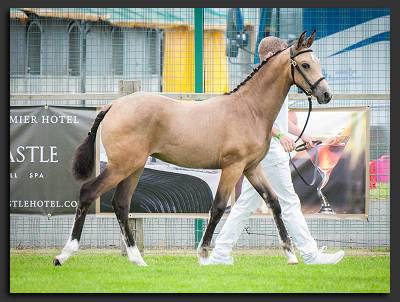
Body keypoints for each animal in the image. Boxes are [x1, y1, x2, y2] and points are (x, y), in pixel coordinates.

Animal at [54, 30, 332, 266]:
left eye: (317, 62)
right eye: (305, 64)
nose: (326, 95)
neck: (248, 109)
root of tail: (113, 106)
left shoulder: (252, 168)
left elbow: (274, 202)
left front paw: (291, 255)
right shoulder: (233, 167)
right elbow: (218, 207)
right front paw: (203, 255)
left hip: (134, 167)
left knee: (122, 204)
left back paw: (137, 259)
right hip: (122, 166)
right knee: (88, 192)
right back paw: (64, 254)